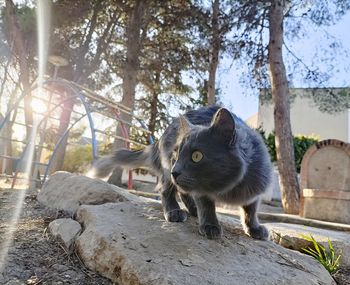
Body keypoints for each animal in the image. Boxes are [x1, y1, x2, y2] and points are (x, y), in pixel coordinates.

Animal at [93, 105, 274, 239]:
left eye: (196, 156)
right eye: (177, 155)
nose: (176, 171)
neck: (228, 188)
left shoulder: (254, 190)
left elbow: (251, 210)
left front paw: (254, 228)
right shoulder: (202, 190)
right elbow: (207, 206)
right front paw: (210, 225)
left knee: (183, 192)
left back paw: (192, 210)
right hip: (166, 173)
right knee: (167, 191)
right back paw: (175, 211)